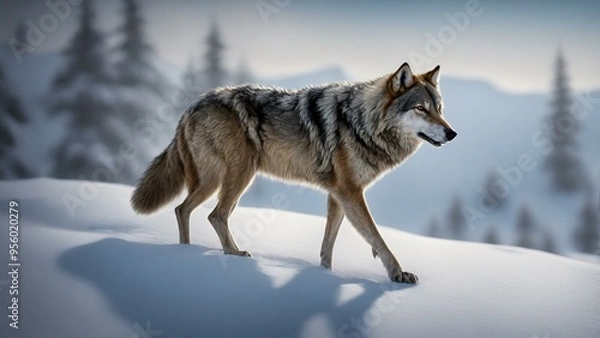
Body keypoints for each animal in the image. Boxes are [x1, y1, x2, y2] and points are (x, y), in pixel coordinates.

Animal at [131, 62, 458, 282]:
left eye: (440, 108)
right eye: (421, 108)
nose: (452, 133)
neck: (363, 123)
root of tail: (191, 106)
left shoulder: (337, 195)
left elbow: (328, 245)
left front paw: (325, 276)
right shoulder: (351, 193)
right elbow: (377, 237)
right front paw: (398, 274)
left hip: (223, 181)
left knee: (184, 209)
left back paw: (186, 252)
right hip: (235, 177)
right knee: (212, 214)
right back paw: (231, 254)